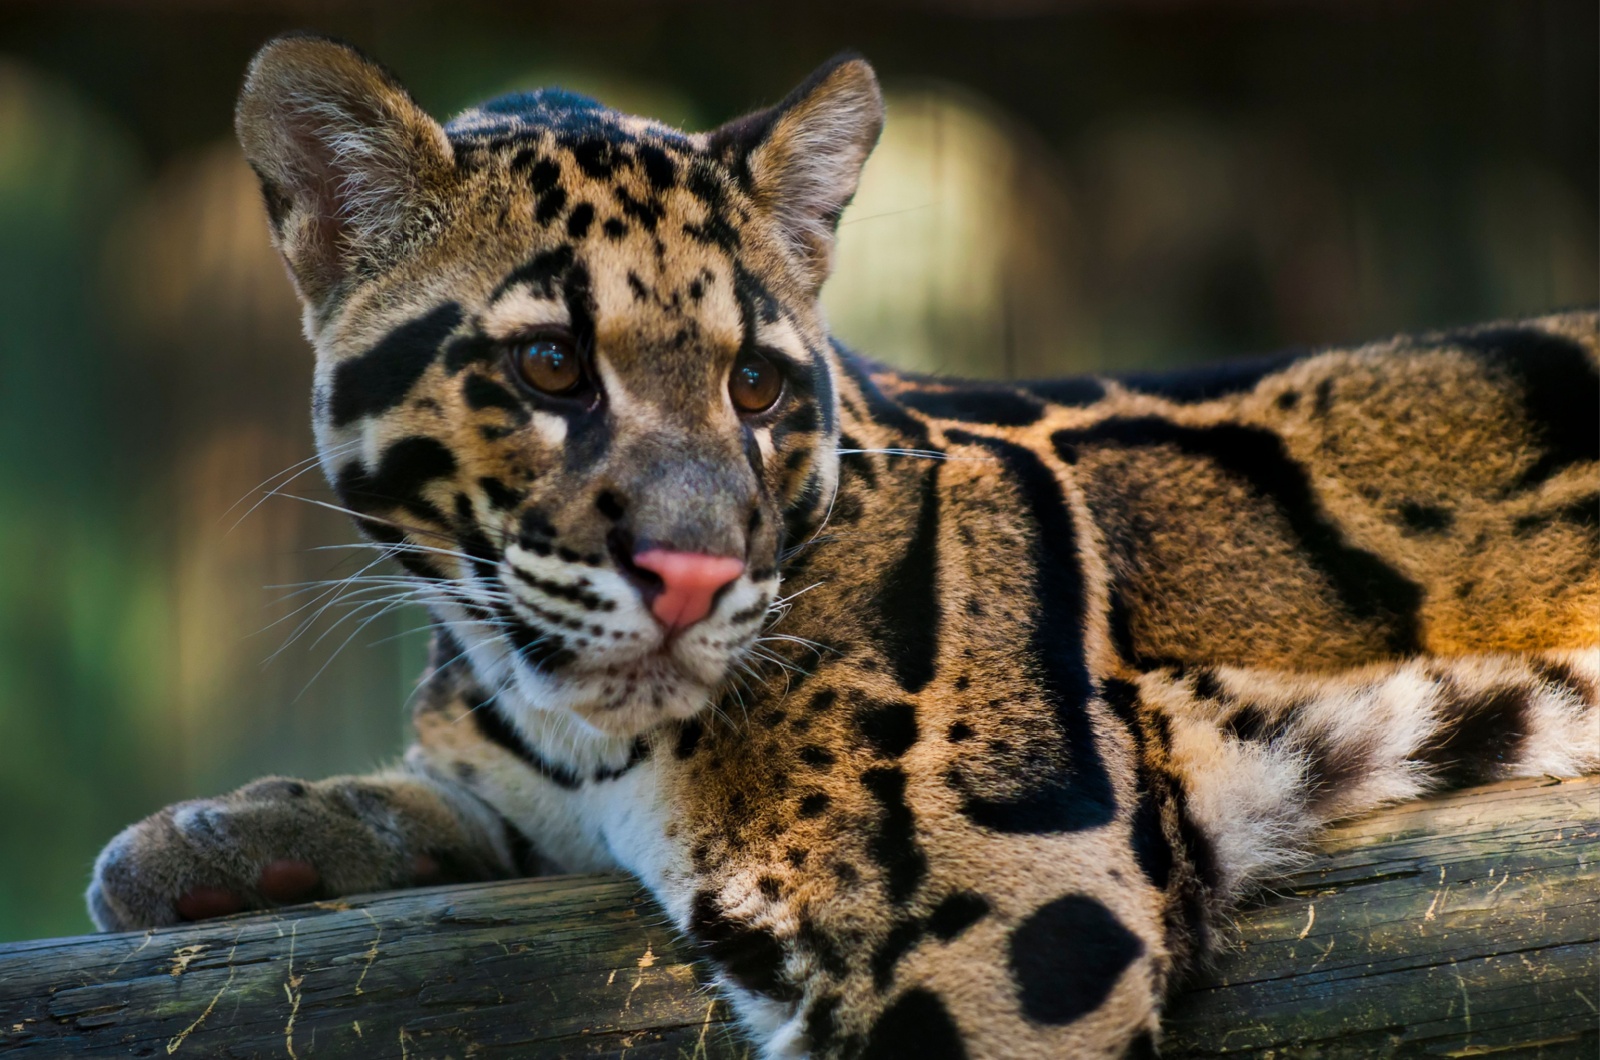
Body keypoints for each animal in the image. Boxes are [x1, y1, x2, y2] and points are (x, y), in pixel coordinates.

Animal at [90, 35, 1600, 1060]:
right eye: (548, 366)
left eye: (757, 387)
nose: (692, 573)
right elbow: (452, 802)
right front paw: (238, 834)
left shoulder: (1015, 921)